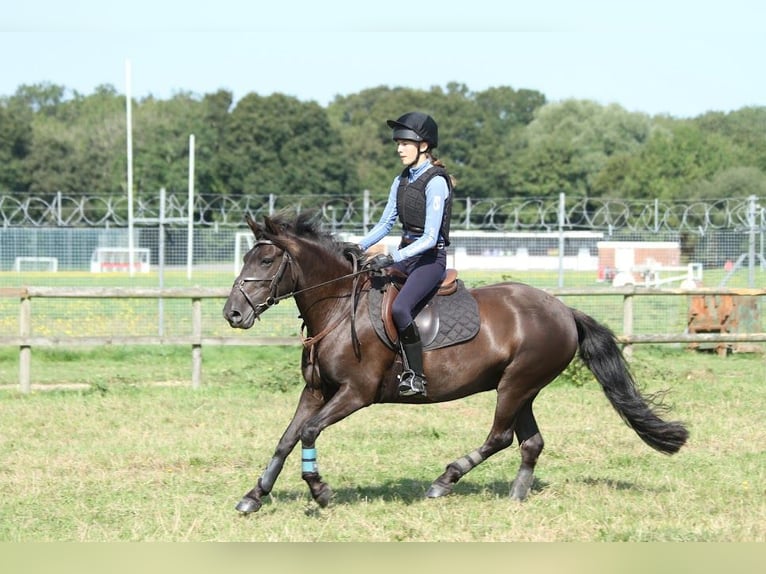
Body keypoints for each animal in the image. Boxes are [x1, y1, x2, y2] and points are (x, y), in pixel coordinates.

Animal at [222, 213, 688, 516]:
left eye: (266, 261)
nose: (233, 314)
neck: (338, 308)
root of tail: (563, 310)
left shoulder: (356, 394)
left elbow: (309, 432)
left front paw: (319, 490)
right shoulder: (316, 390)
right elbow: (286, 439)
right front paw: (254, 496)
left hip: (516, 385)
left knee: (500, 437)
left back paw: (444, 481)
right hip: (522, 388)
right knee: (530, 442)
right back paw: (515, 497)